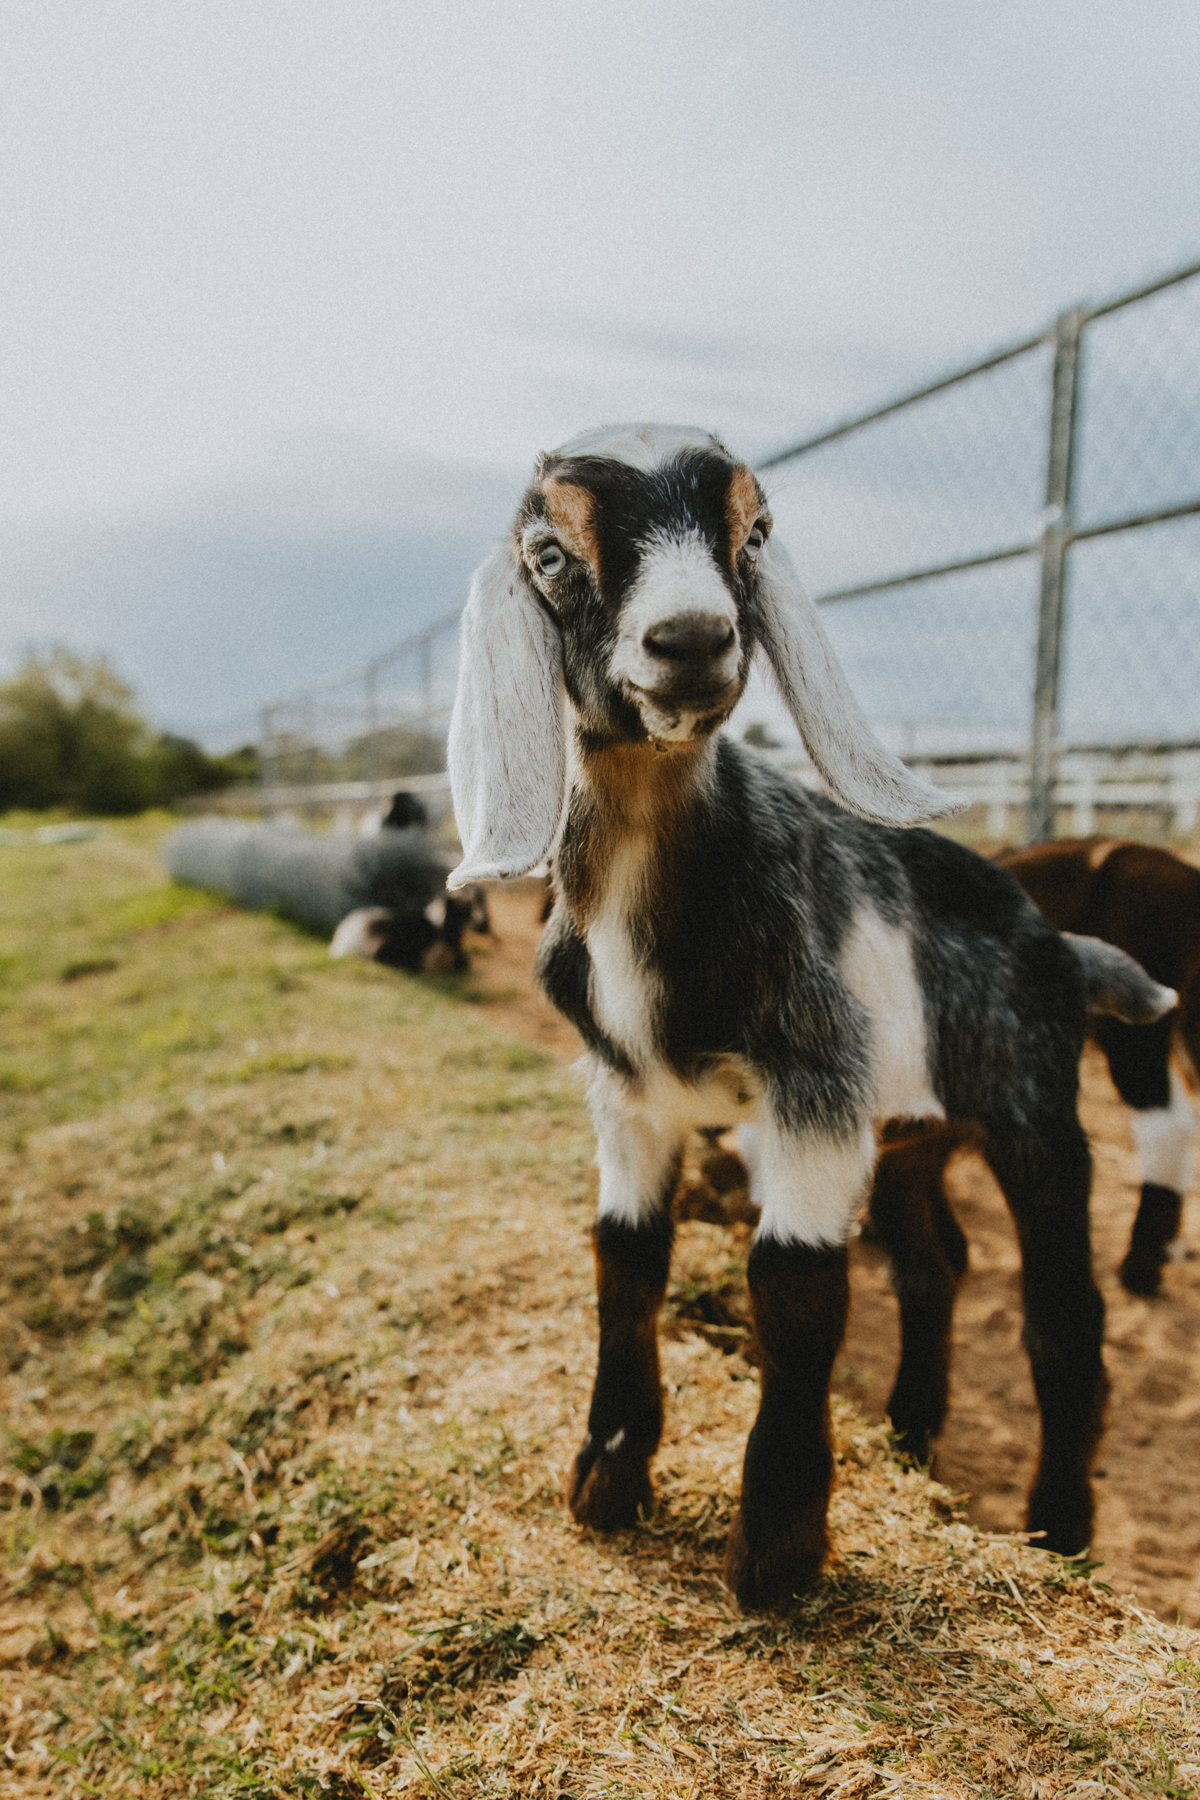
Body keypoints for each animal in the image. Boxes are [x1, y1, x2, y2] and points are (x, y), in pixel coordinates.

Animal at [446, 424, 1175, 1611]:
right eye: (550, 552)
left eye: (754, 532)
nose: (692, 639)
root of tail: (1061, 946)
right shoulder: (627, 1095)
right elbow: (624, 1261)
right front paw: (607, 1480)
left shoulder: (815, 1077)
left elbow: (795, 1287)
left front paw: (776, 1558)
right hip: (917, 1136)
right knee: (938, 1266)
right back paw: (915, 1434)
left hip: (1034, 1106)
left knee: (1064, 1323)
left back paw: (1059, 1528)